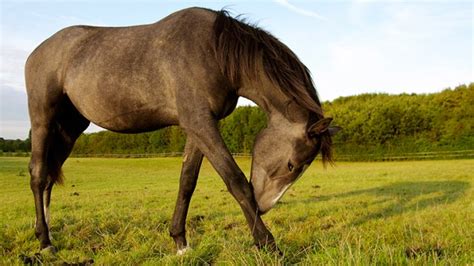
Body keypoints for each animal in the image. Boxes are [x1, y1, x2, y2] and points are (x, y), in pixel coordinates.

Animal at [25, 7, 338, 255]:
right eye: (291, 165)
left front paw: (180, 242)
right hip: (43, 121)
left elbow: (187, 182)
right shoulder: (200, 122)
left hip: (70, 127)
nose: (263, 207)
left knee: (50, 176)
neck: (214, 51)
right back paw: (45, 242)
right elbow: (235, 180)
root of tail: (37, 51)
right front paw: (268, 244)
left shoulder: (198, 126)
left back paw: (49, 232)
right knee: (39, 174)